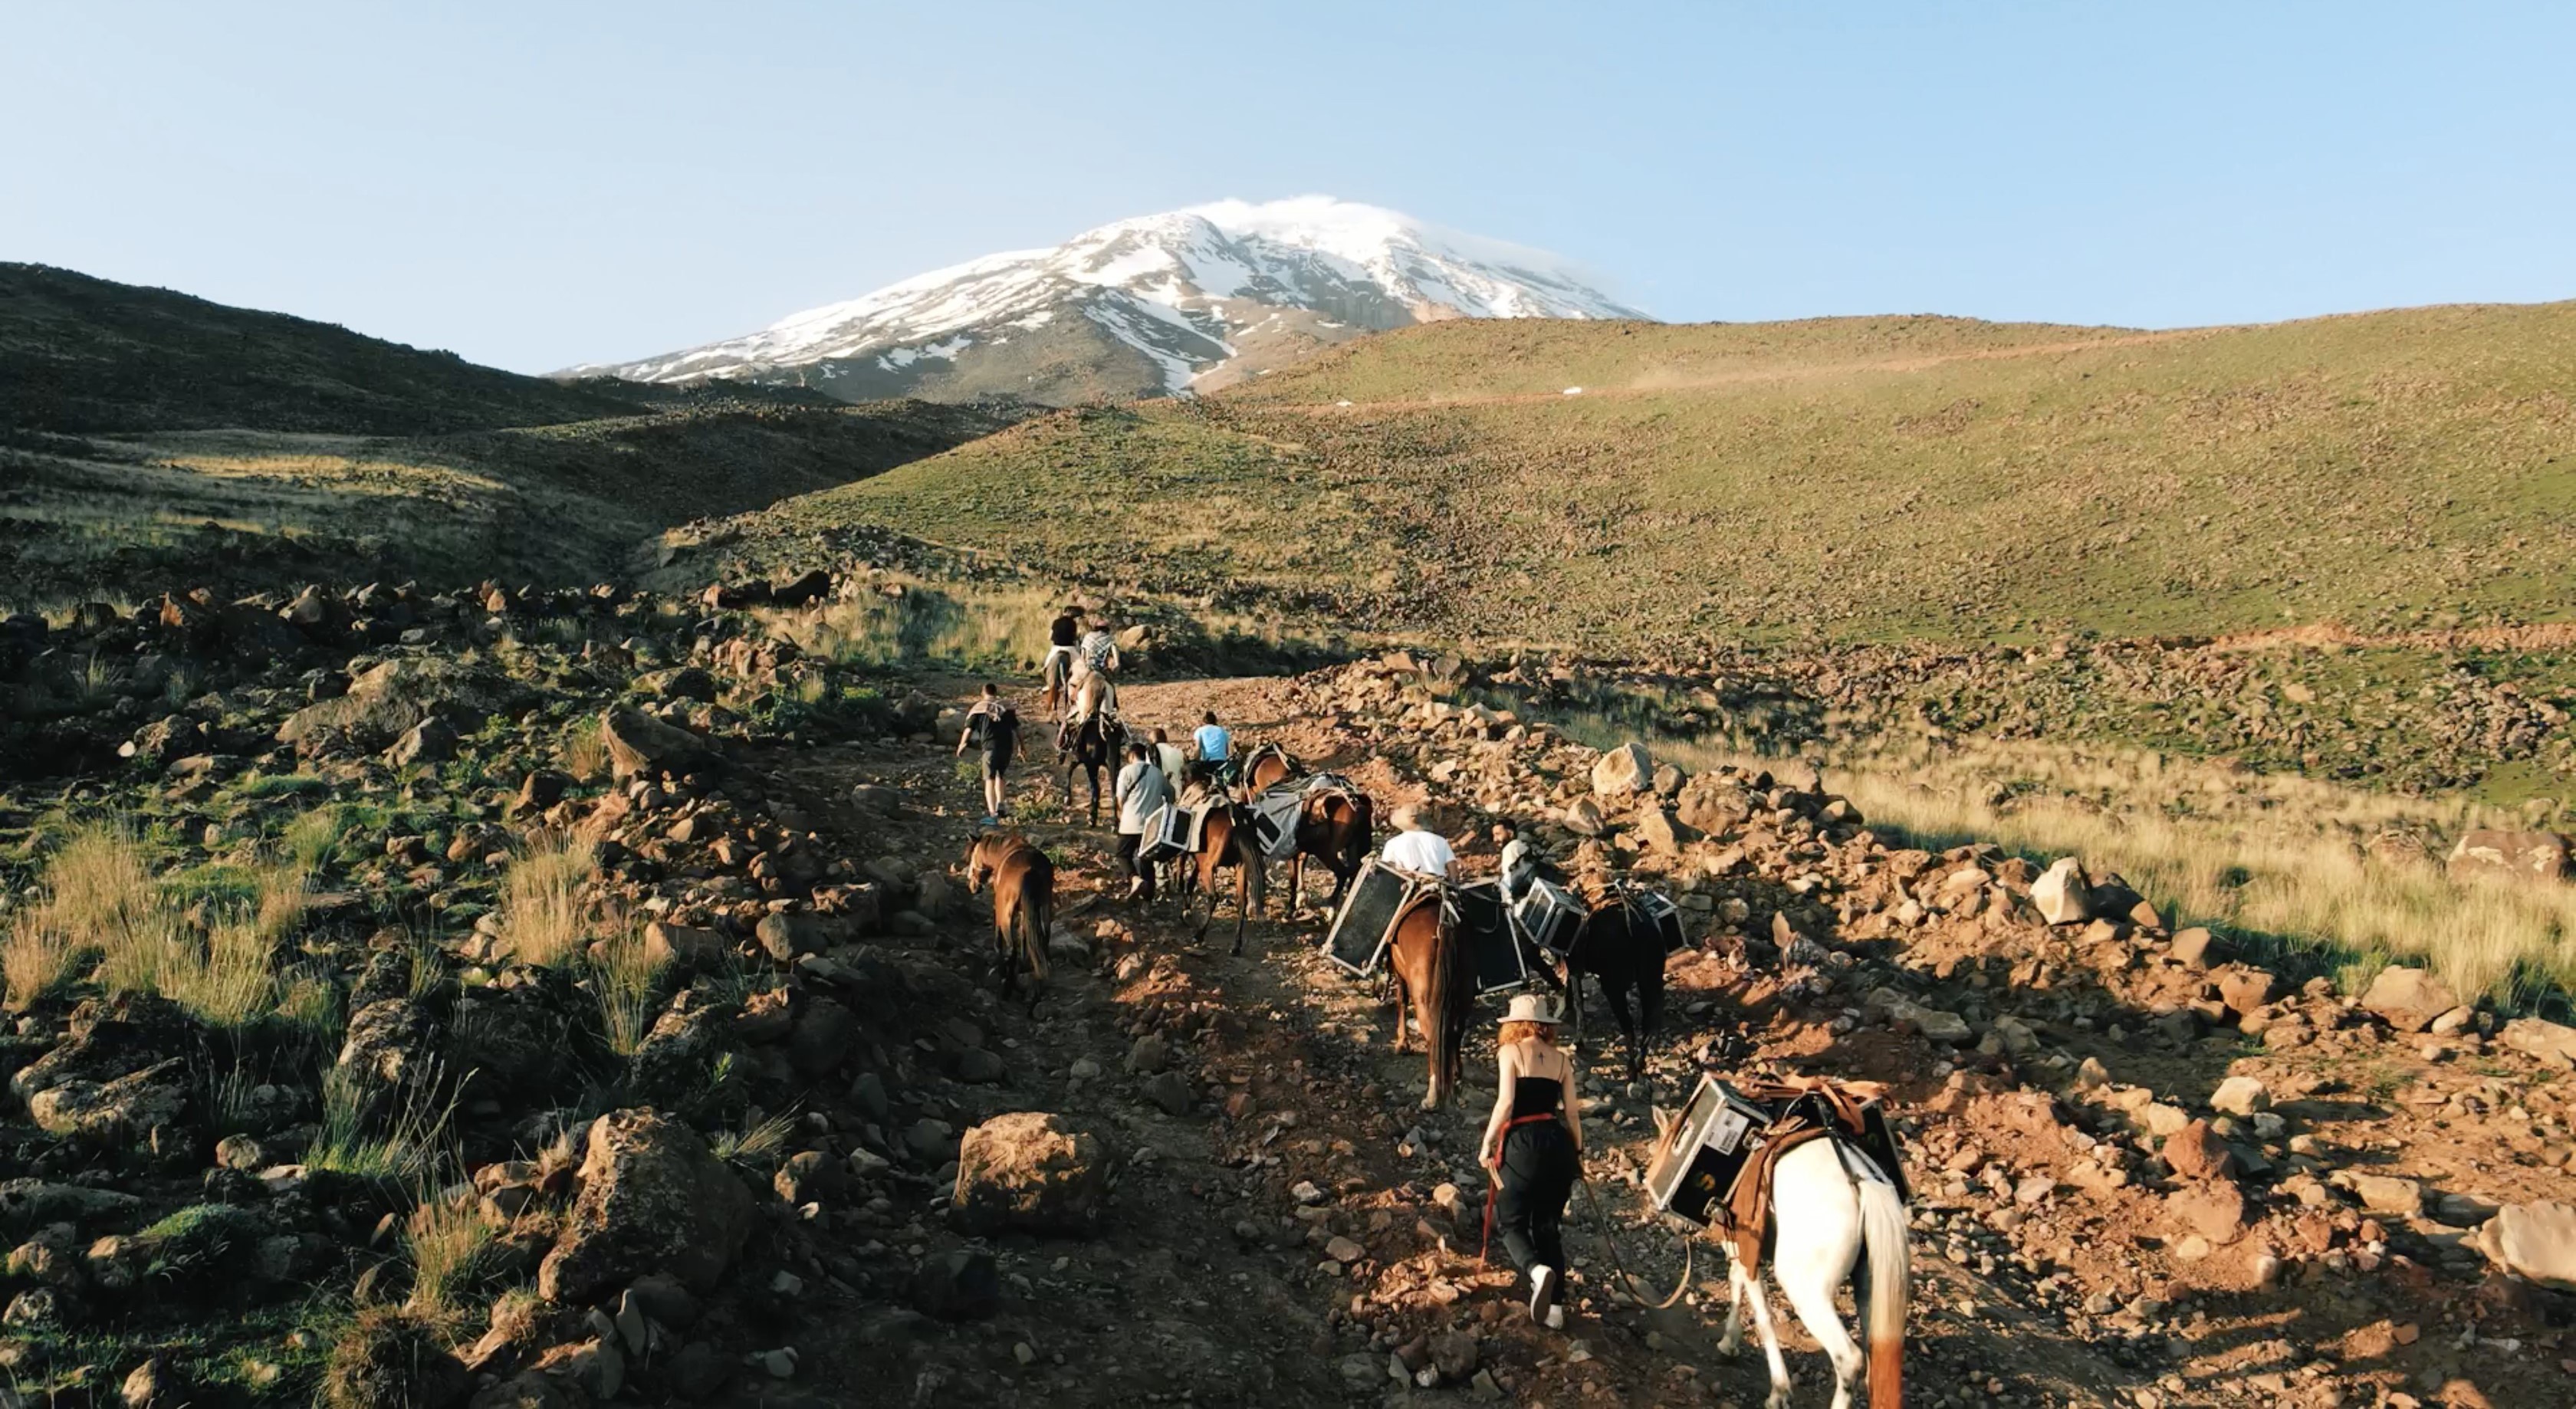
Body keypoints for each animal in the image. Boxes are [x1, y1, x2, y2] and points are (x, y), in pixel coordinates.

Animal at [963, 834, 1050, 1010]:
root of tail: (1031, 871)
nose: (973, 886)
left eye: (973, 857)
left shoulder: (1000, 909)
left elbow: (999, 940)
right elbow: (1025, 940)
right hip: (1046, 912)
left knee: (1012, 948)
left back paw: (1007, 988)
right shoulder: (1026, 914)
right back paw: (1036, 995)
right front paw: (1022, 968)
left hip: (1007, 916)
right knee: (1042, 947)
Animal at [1391, 891, 1473, 1112]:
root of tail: (1444, 927)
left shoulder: (1400, 974)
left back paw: (1432, 1096)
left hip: (1424, 997)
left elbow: (1401, 1001)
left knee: (1432, 1036)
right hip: (1465, 994)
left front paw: (1402, 1043)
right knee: (1455, 1032)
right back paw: (1456, 1080)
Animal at [1710, 1143, 1916, 1401]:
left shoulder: (1747, 1249)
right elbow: (1736, 1279)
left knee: (1849, 1359)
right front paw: (1728, 1342)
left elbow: (1763, 1316)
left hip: (1806, 1291)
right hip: (1872, 1290)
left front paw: (1779, 1391)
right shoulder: (1741, 1248)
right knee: (1876, 1364)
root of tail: (1862, 1181)